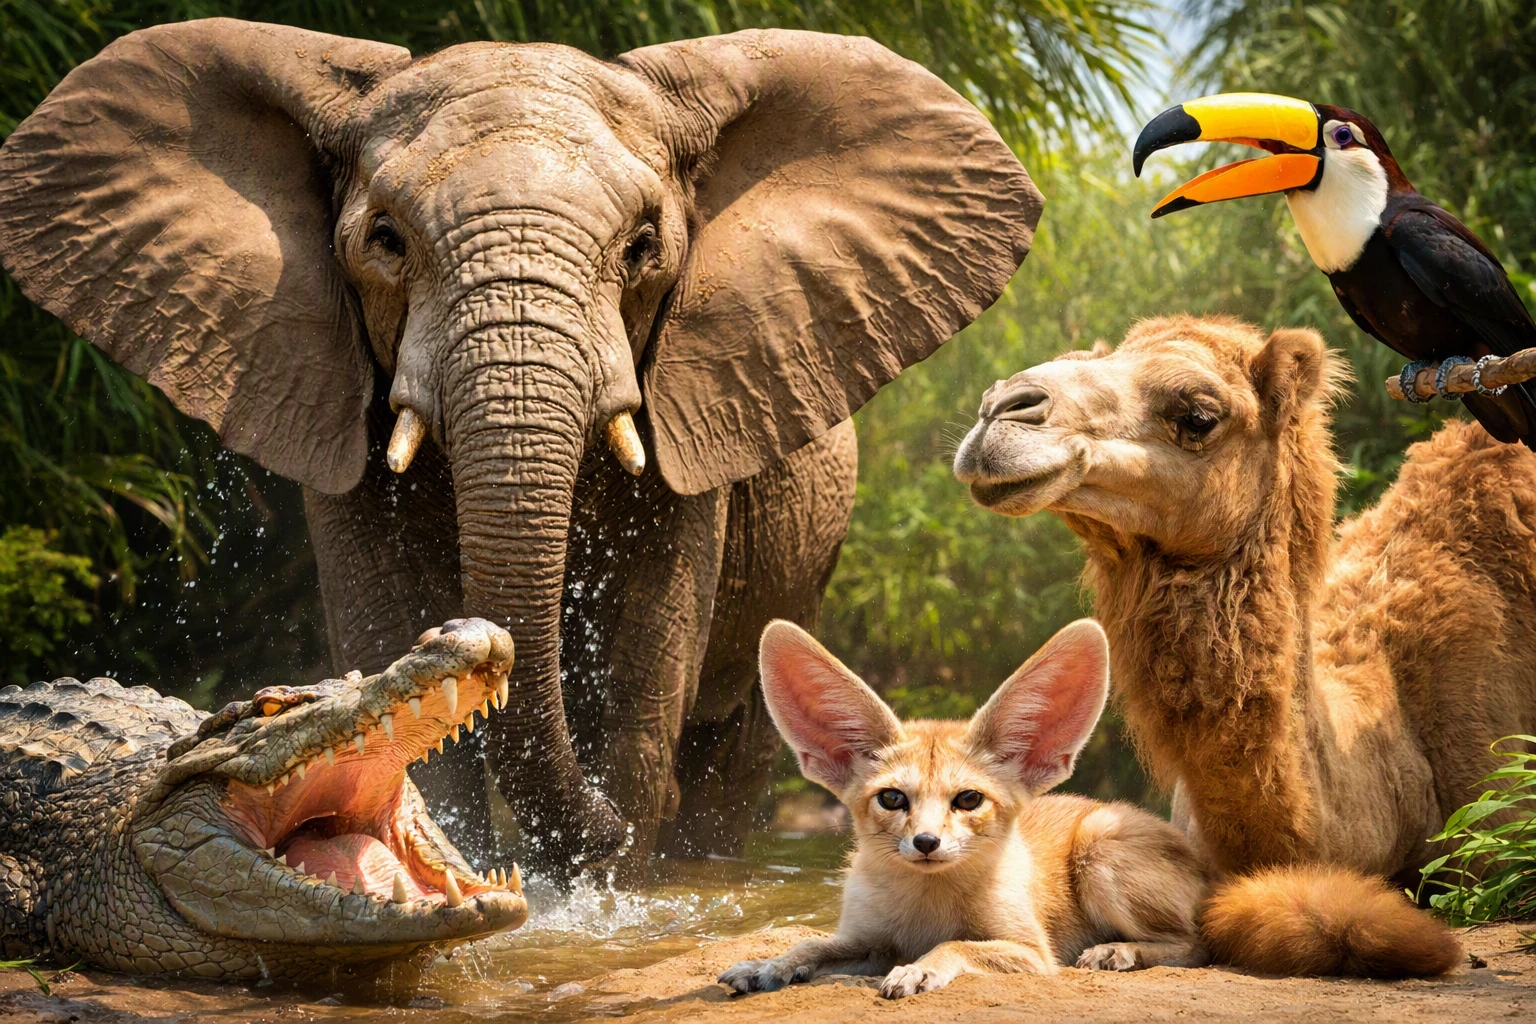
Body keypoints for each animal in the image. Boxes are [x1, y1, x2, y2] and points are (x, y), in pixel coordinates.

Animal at [0, 18, 1041, 879]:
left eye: (645, 246)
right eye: (384, 240)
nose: (484, 639)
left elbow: (647, 660)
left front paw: (612, 895)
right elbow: (393, 641)